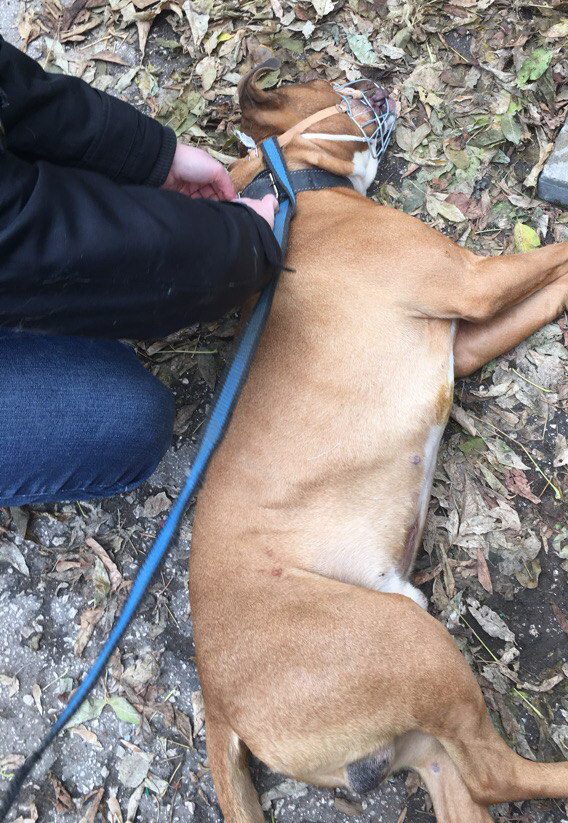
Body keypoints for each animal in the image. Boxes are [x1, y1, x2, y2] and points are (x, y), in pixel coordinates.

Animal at [189, 66, 568, 823]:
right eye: (326, 80)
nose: (378, 77)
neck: (291, 188)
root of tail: (217, 705)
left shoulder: (466, 333)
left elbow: (550, 290)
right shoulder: (474, 283)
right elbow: (558, 254)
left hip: (418, 726)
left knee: (472, 782)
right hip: (412, 646)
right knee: (497, 773)